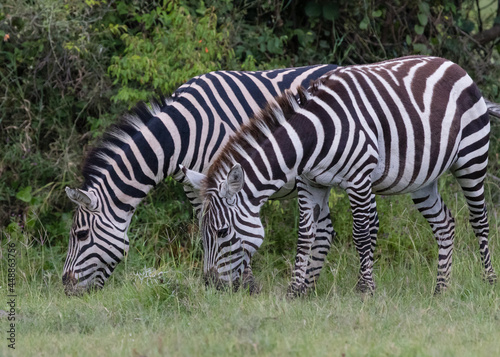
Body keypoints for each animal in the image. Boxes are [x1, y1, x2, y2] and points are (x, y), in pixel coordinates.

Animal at [60, 64, 338, 294]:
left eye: (81, 234)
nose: (65, 287)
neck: (183, 133)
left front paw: (245, 286)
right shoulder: (193, 185)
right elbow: (207, 223)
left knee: (321, 230)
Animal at [186, 55, 498, 294]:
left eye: (222, 232)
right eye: (203, 233)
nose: (210, 286)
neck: (312, 136)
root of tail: (453, 65)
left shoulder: (358, 178)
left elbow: (361, 232)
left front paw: (365, 289)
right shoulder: (310, 183)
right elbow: (306, 234)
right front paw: (295, 290)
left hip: (471, 159)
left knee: (479, 221)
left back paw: (489, 281)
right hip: (422, 180)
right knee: (444, 224)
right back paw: (440, 289)